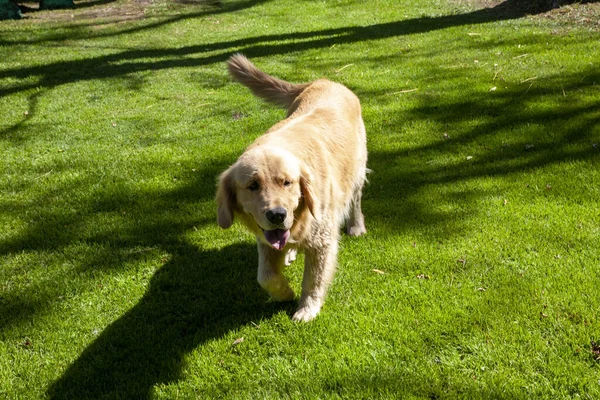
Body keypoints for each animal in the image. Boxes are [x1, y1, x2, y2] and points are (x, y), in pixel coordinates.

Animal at [216, 54, 366, 322]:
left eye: (287, 182)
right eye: (253, 186)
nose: (277, 215)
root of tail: (323, 80)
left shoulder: (322, 239)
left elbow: (314, 279)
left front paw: (307, 309)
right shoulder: (265, 238)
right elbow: (265, 276)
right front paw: (284, 292)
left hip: (357, 171)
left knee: (356, 200)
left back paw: (356, 226)